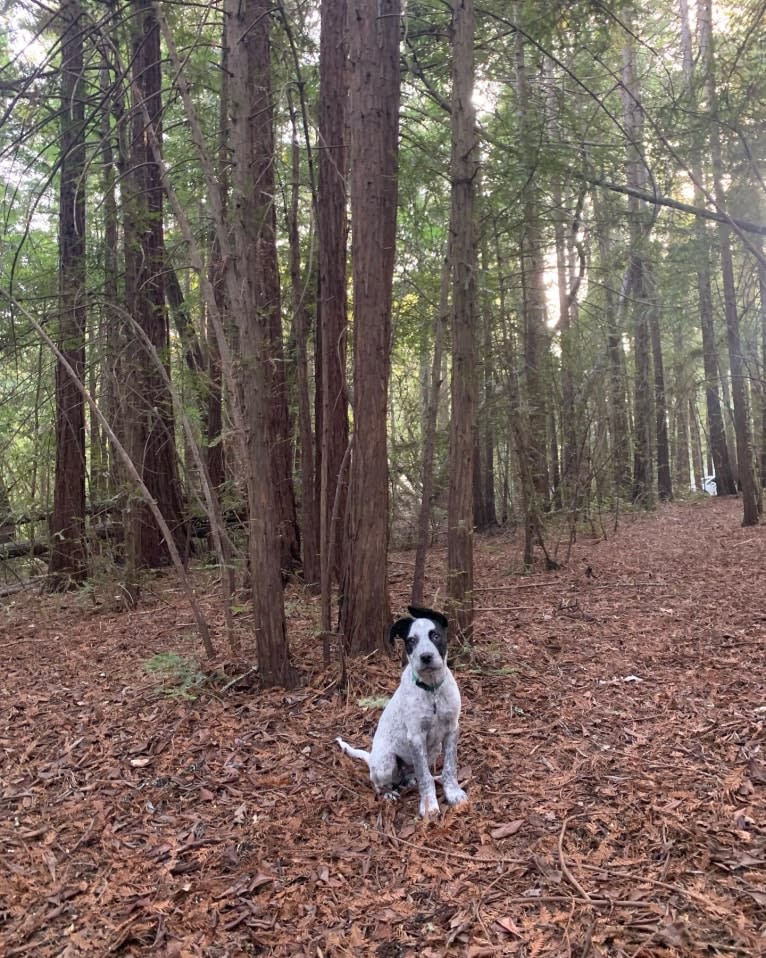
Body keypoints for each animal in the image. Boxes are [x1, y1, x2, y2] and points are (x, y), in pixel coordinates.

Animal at [336, 608, 468, 816]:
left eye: (435, 636)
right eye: (411, 641)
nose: (426, 657)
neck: (432, 691)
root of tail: (371, 758)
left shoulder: (452, 729)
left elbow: (449, 767)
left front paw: (453, 793)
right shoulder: (416, 736)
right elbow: (425, 776)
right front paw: (429, 804)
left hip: (433, 750)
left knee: (412, 774)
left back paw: (413, 781)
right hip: (386, 762)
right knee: (378, 783)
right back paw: (388, 793)